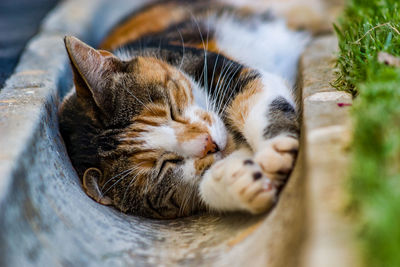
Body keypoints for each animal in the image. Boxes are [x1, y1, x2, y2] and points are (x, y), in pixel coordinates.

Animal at [57, 0, 308, 220]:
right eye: (165, 166)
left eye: (171, 109)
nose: (209, 143)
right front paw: (235, 180)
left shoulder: (217, 68)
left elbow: (255, 97)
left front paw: (273, 151)